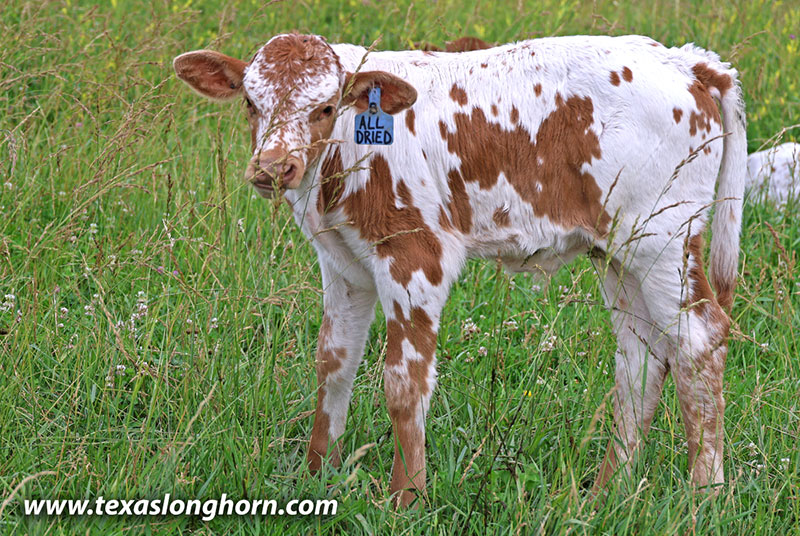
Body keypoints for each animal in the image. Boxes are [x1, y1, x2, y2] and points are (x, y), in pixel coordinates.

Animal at [173, 32, 747, 507]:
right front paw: (317, 477)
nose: (274, 168)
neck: (347, 155)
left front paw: (407, 498)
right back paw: (607, 493)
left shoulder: (415, 258)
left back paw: (706, 496)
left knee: (698, 341)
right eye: (251, 103)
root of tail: (687, 61)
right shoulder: (342, 262)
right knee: (641, 357)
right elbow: (333, 363)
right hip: (619, 252)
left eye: (326, 106)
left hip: (664, 240)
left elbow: (403, 383)